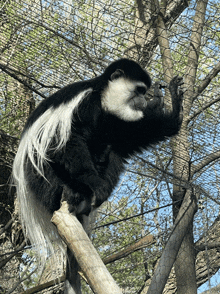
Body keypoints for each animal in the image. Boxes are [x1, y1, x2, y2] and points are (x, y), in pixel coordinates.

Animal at [12, 58, 184, 292]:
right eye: (139, 90)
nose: (143, 100)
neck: (102, 99)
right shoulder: (85, 104)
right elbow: (69, 141)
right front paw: (95, 184)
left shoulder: (115, 120)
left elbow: (134, 136)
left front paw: (172, 100)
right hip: (39, 178)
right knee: (49, 156)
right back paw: (73, 193)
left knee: (114, 151)